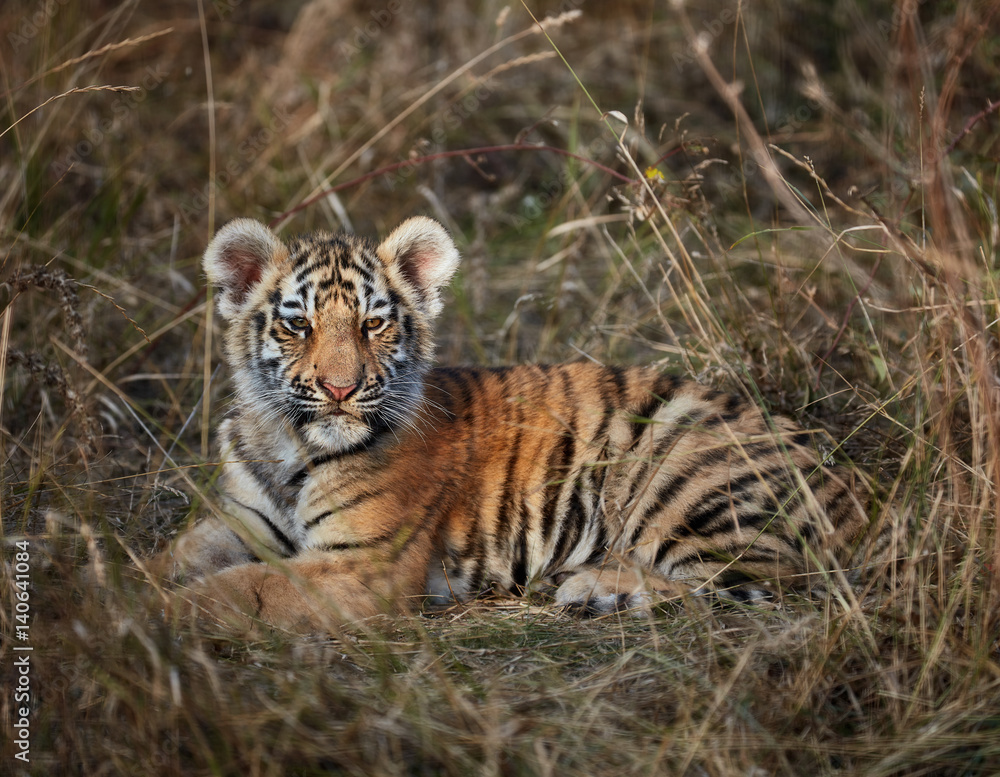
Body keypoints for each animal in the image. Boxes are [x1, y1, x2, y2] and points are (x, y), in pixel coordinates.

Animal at [156, 215, 872, 633]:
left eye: (373, 323)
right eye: (298, 324)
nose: (340, 388)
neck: (286, 442)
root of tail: (858, 487)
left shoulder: (361, 565)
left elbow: (234, 592)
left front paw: (139, 626)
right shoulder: (238, 522)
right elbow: (175, 560)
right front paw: (129, 587)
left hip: (680, 461)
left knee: (766, 577)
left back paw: (592, 586)